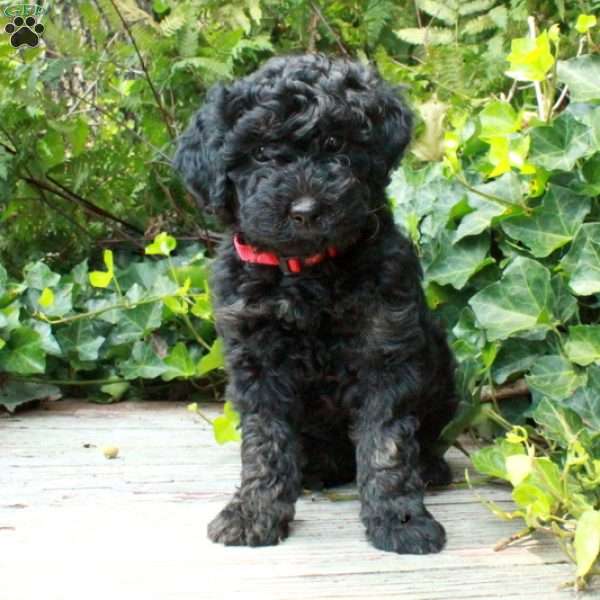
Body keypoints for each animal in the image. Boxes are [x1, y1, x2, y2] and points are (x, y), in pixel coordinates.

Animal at [176, 54, 458, 556]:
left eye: (334, 143)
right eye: (260, 153)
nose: (305, 210)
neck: (306, 273)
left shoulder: (385, 348)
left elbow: (386, 445)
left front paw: (400, 519)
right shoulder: (256, 357)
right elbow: (265, 444)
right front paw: (253, 514)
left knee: (426, 437)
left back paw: (429, 468)